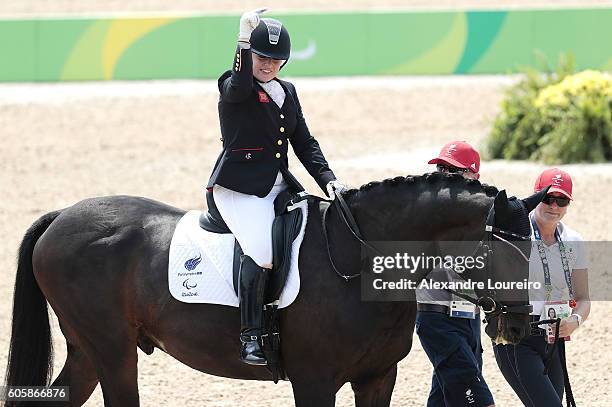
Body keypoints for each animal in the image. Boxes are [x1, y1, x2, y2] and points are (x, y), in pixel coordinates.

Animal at [3, 174, 540, 406]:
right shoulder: (314, 379)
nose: (522, 326)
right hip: (112, 351)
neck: (356, 258)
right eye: (507, 253)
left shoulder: (377, 377)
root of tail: (62, 217)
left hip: (89, 351)